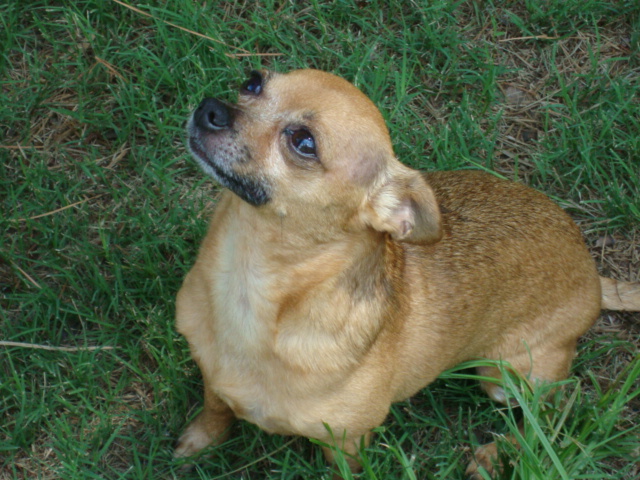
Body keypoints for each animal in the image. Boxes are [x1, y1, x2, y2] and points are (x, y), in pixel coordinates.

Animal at [174, 69, 640, 478]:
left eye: (304, 142)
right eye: (252, 83)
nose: (211, 108)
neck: (248, 281)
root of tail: (592, 273)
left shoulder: (346, 444)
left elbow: (342, 470)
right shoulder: (213, 380)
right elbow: (214, 411)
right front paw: (198, 444)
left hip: (505, 375)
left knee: (551, 412)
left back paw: (497, 454)